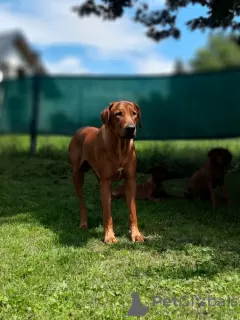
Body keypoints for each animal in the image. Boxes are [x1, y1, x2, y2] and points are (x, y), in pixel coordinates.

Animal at [67, 101, 143, 244]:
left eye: (134, 113)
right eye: (118, 114)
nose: (131, 128)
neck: (120, 147)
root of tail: (81, 129)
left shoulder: (130, 180)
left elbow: (132, 212)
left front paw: (136, 234)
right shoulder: (106, 181)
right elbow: (108, 215)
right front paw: (110, 236)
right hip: (77, 174)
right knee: (82, 201)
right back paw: (84, 223)